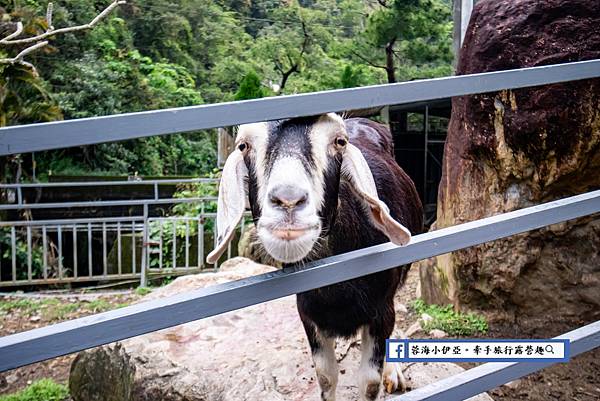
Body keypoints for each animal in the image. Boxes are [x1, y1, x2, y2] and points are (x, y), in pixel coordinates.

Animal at [209, 112, 424, 400]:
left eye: (339, 141)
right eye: (243, 146)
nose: (288, 201)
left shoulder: (381, 310)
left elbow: (369, 383)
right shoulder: (308, 313)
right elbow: (325, 376)